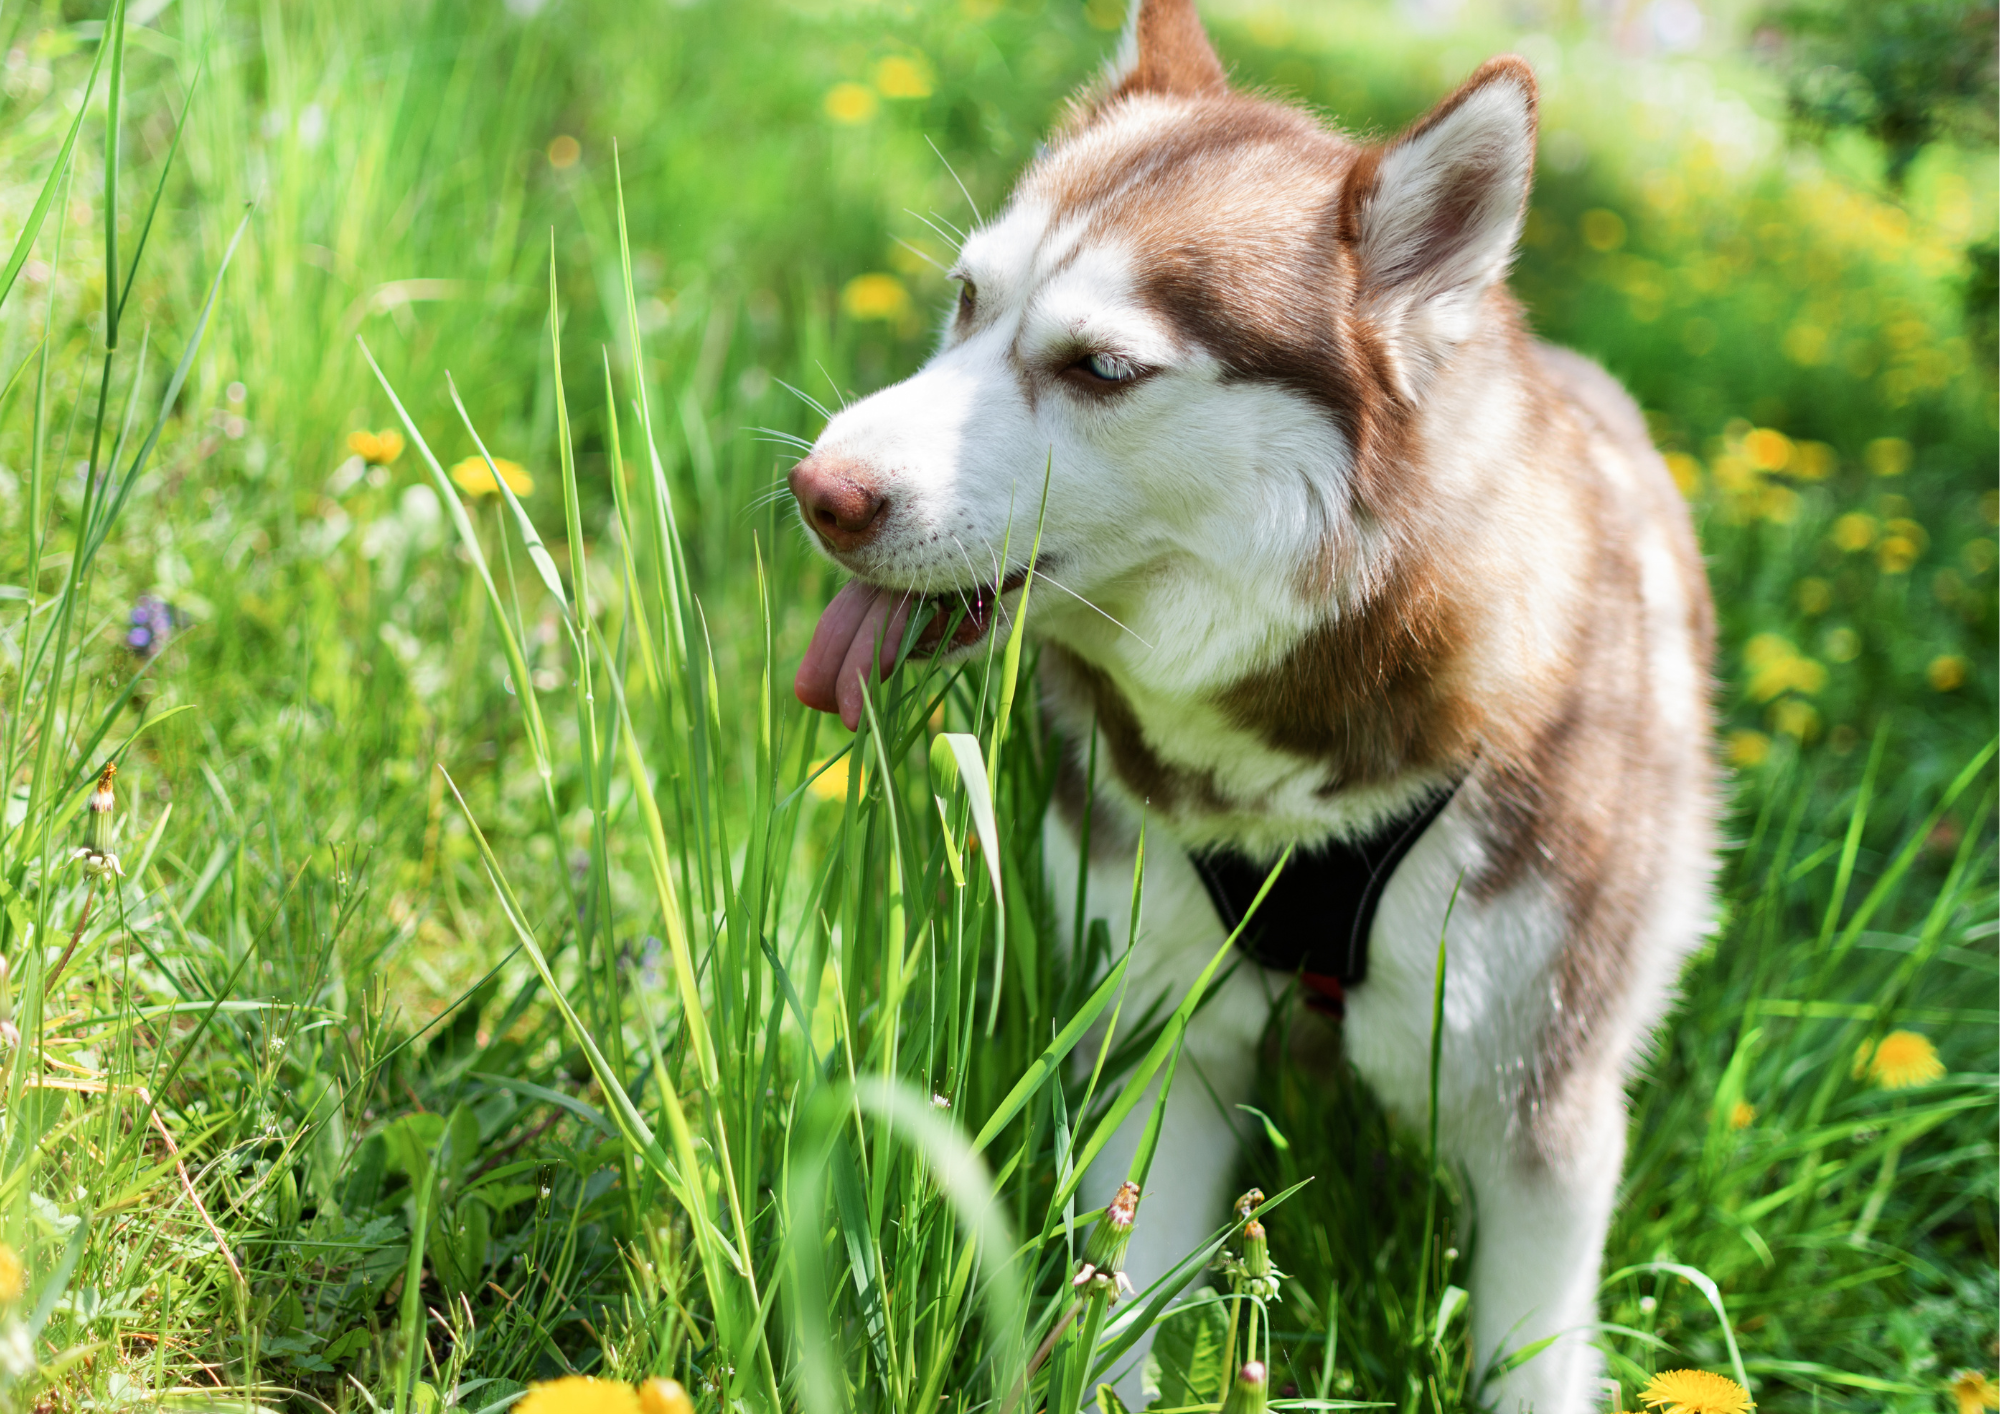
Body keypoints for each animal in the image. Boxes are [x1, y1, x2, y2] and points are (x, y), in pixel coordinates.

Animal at [788, 5, 1712, 1408]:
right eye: (966, 298)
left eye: (1101, 367)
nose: (818, 491)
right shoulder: (1157, 1038)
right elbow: (1116, 1302)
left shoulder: (1540, 1117)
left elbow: (1529, 1350)